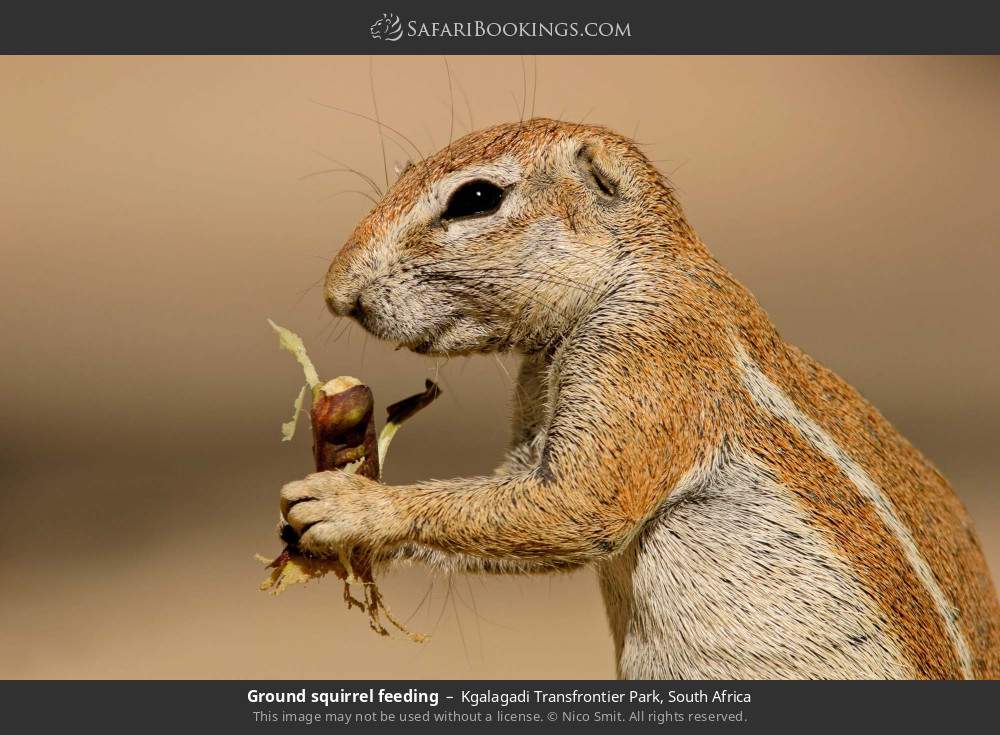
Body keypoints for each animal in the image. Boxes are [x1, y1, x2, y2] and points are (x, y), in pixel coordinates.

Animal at [279, 118, 1000, 679]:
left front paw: (348, 504)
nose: (337, 292)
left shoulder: (644, 354)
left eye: (476, 198)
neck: (635, 269)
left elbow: (574, 504)